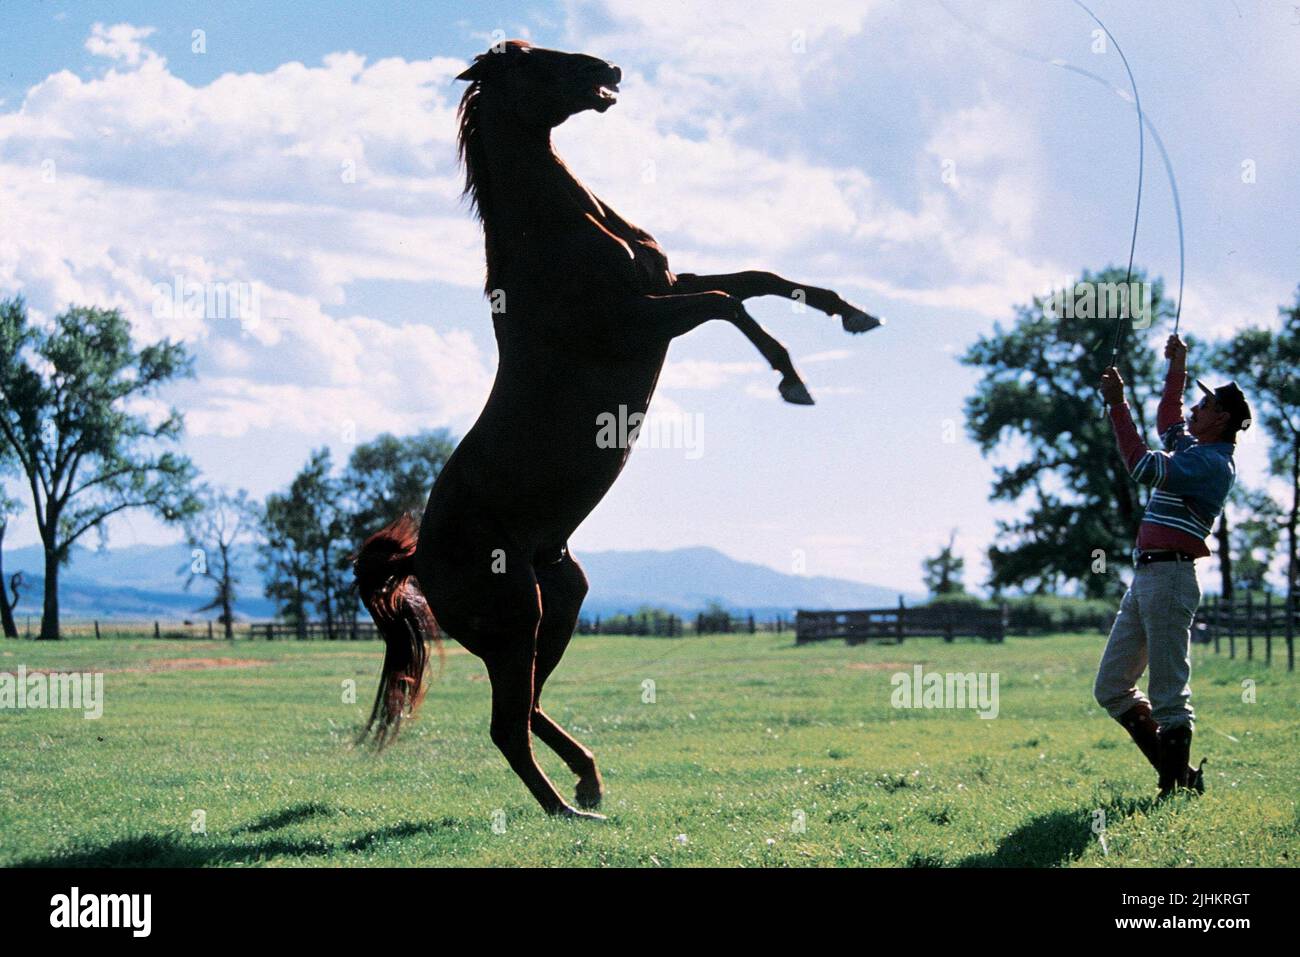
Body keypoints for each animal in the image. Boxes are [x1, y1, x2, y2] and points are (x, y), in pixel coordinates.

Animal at [356, 41, 883, 816]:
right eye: (532, 61)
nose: (610, 70)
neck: (559, 232)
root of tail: (418, 558)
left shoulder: (668, 285)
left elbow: (757, 278)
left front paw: (852, 313)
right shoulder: (645, 319)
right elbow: (730, 302)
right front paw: (792, 380)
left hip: (558, 602)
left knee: (527, 708)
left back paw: (589, 780)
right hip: (517, 618)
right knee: (506, 724)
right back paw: (569, 810)